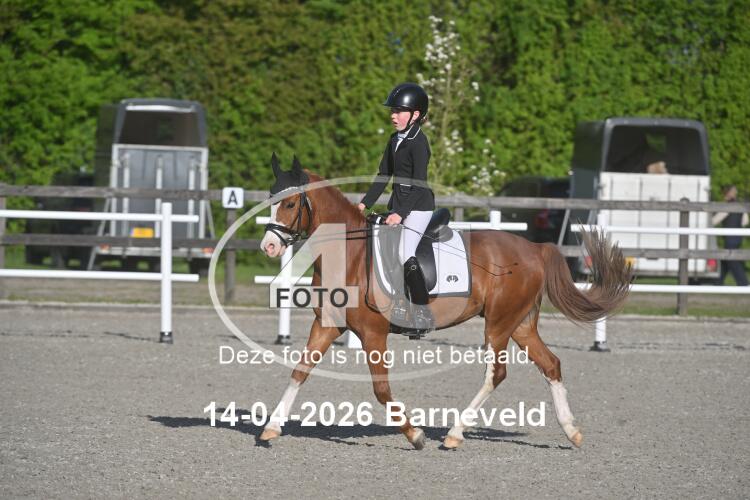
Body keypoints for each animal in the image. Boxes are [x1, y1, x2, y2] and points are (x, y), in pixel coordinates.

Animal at [257, 157, 632, 450]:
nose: (268, 248)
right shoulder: (328, 326)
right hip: (520, 324)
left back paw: (453, 434)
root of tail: (534, 248)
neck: (348, 253)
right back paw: (572, 432)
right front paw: (271, 428)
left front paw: (415, 435)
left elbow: (381, 390)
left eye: (290, 204)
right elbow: (299, 371)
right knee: (550, 364)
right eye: (271, 199)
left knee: (496, 374)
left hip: (498, 324)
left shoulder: (373, 333)